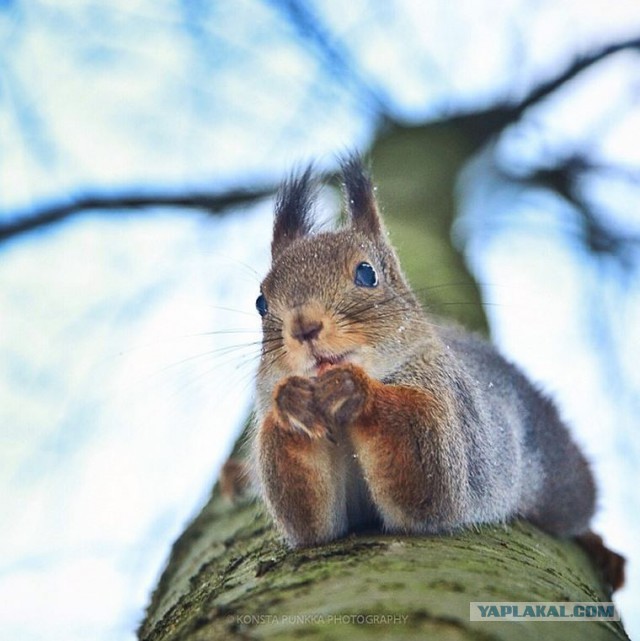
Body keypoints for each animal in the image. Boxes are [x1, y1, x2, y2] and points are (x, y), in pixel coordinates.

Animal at [244, 155, 624, 592]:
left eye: (367, 274)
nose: (304, 327)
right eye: (260, 302)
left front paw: (355, 389)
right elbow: (312, 523)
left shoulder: (449, 401)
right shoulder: (317, 520)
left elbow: (431, 483)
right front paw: (290, 403)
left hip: (560, 479)